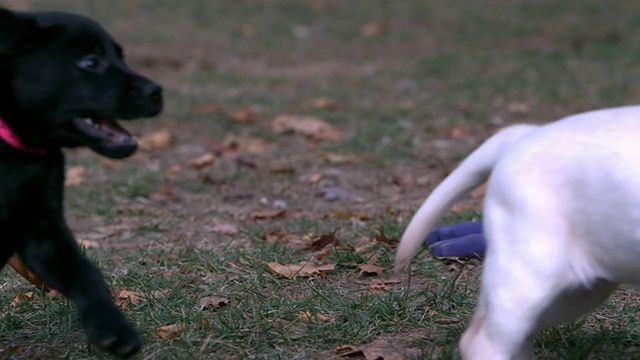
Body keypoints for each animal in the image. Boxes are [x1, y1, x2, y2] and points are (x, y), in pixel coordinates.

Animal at [0, 7, 162, 358]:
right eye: (90, 62)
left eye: (121, 57)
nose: (157, 91)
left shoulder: (44, 229)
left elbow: (85, 272)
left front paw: (111, 326)